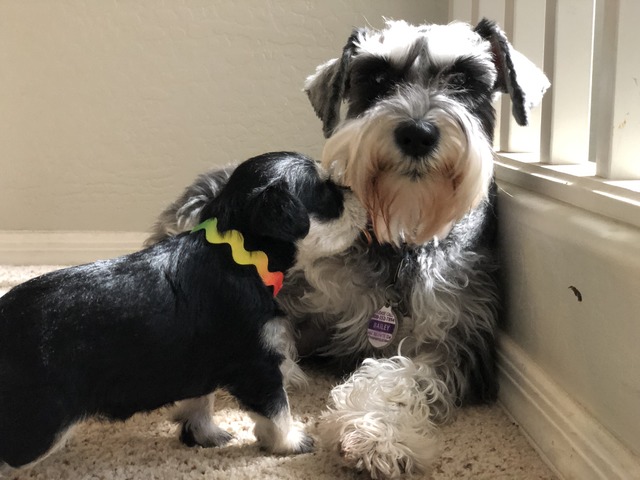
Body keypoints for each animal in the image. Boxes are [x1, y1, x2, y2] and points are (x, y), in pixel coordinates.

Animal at [0, 153, 364, 468]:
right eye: (326, 193)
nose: (358, 194)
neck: (241, 255)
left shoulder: (203, 365)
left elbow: (200, 401)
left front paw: (204, 434)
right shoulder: (258, 366)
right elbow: (277, 411)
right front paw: (291, 442)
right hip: (40, 423)